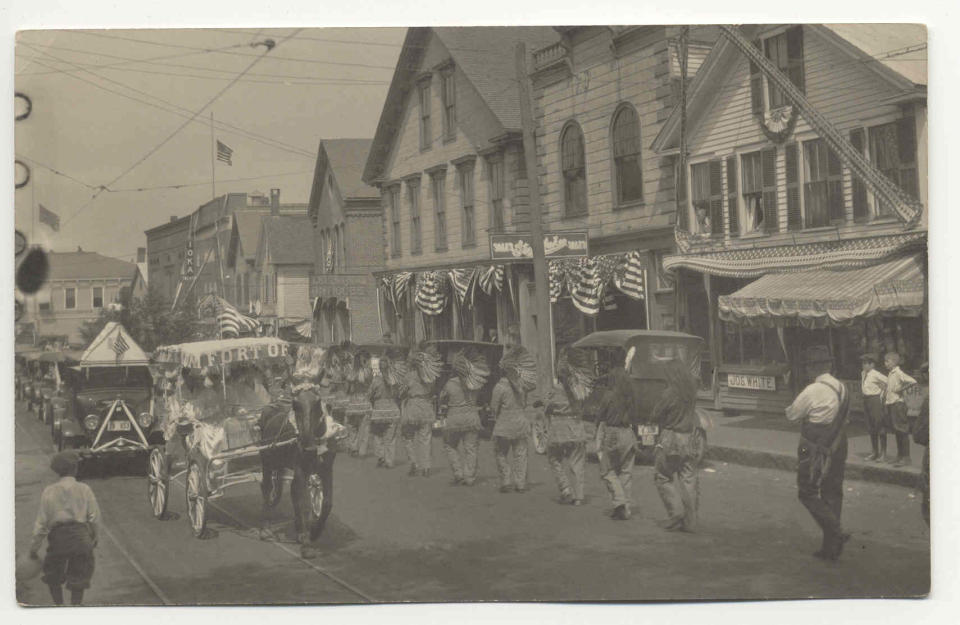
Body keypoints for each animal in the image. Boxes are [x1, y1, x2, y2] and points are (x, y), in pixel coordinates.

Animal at [258, 388, 338, 560]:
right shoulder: (302, 470)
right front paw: (307, 546)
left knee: (292, 490)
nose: (307, 447)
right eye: (295, 405)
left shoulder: (327, 469)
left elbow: (327, 503)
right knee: (267, 487)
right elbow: (305, 505)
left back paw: (300, 531)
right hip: (268, 461)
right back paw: (265, 528)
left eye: (317, 403)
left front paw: (314, 532)